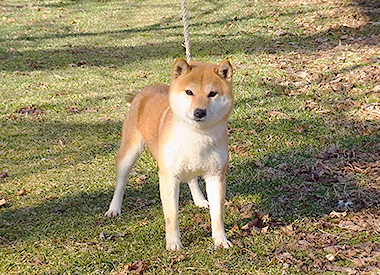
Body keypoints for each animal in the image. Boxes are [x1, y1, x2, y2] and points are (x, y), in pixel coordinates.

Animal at [105, 58, 233, 252]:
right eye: (189, 92)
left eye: (212, 94)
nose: (199, 112)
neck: (198, 136)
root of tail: (144, 91)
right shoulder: (168, 177)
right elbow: (171, 215)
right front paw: (173, 243)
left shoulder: (216, 176)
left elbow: (217, 215)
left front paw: (220, 240)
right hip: (129, 153)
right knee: (121, 182)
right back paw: (114, 208)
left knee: (192, 179)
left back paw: (200, 200)